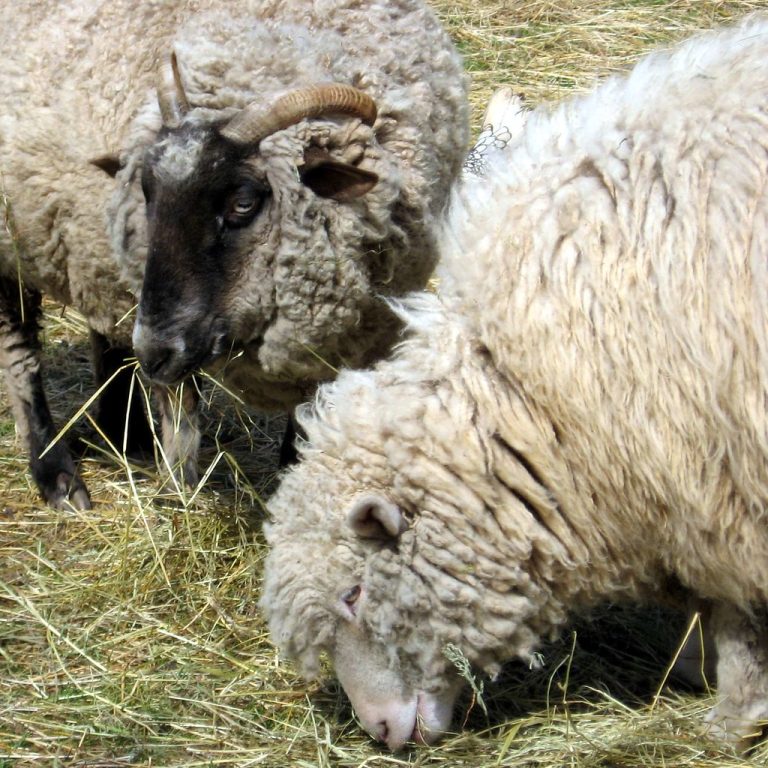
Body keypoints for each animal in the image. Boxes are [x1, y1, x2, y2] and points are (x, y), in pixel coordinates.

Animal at [0, 0, 468, 508]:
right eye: (146, 192)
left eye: (242, 203)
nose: (153, 351)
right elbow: (180, 414)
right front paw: (179, 494)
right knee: (21, 356)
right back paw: (57, 475)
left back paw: (126, 435)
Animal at [260, 16, 768, 751]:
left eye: (353, 594)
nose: (381, 730)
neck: (527, 397)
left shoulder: (709, 465)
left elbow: (732, 608)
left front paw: (733, 714)